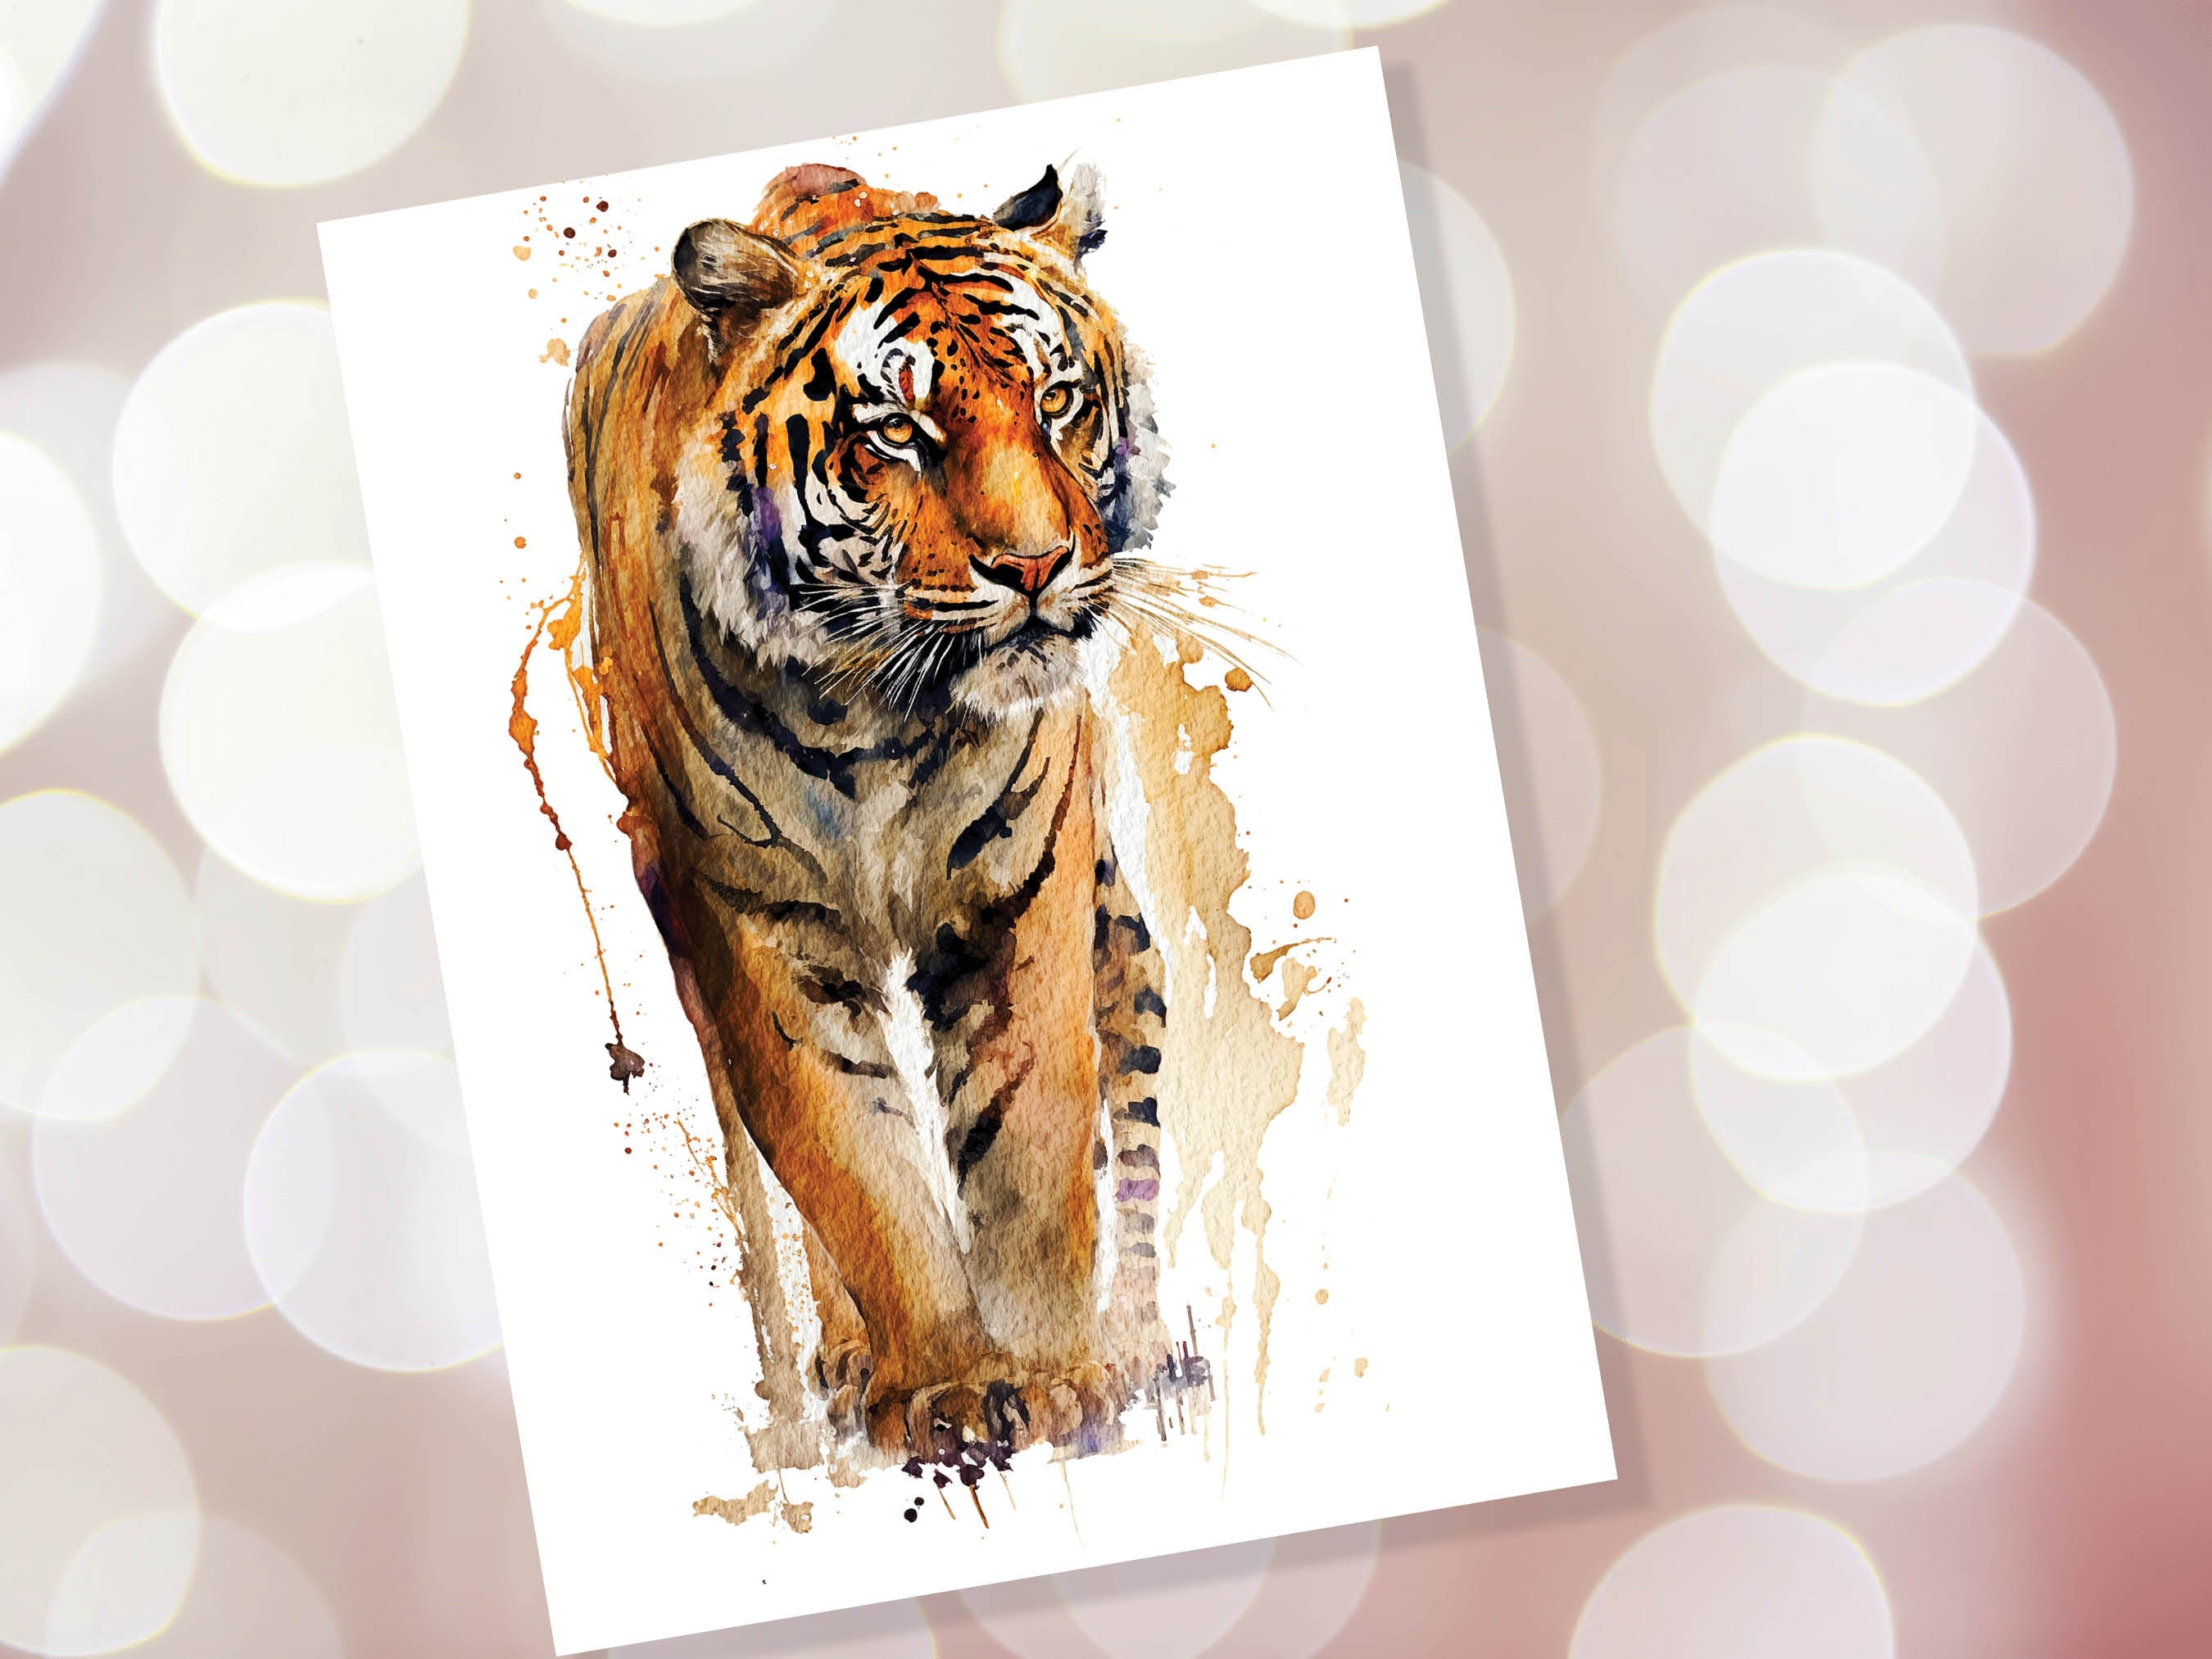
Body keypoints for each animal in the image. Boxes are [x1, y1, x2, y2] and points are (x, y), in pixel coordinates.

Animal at [563, 160, 1184, 1458]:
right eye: (898, 430)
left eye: (1058, 400)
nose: (1038, 567)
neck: (880, 722)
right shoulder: (749, 921)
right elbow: (854, 1161)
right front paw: (947, 1383)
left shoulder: (1028, 883)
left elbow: (1037, 1135)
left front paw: (1057, 1373)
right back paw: (854, 1364)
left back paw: (1138, 1343)